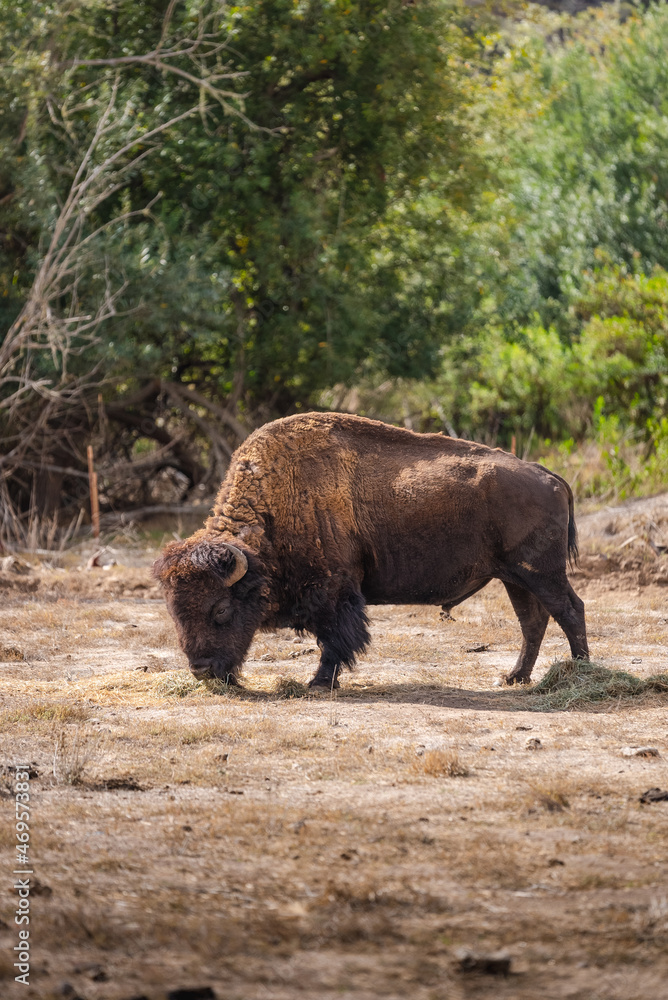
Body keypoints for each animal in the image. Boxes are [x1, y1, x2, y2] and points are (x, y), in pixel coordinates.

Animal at [154, 411, 588, 688]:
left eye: (220, 609)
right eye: (174, 612)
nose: (202, 670)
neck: (275, 509)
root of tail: (548, 476)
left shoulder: (334, 592)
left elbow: (334, 639)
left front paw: (319, 682)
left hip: (540, 573)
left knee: (569, 610)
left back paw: (581, 670)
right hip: (515, 577)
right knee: (533, 621)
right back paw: (515, 677)